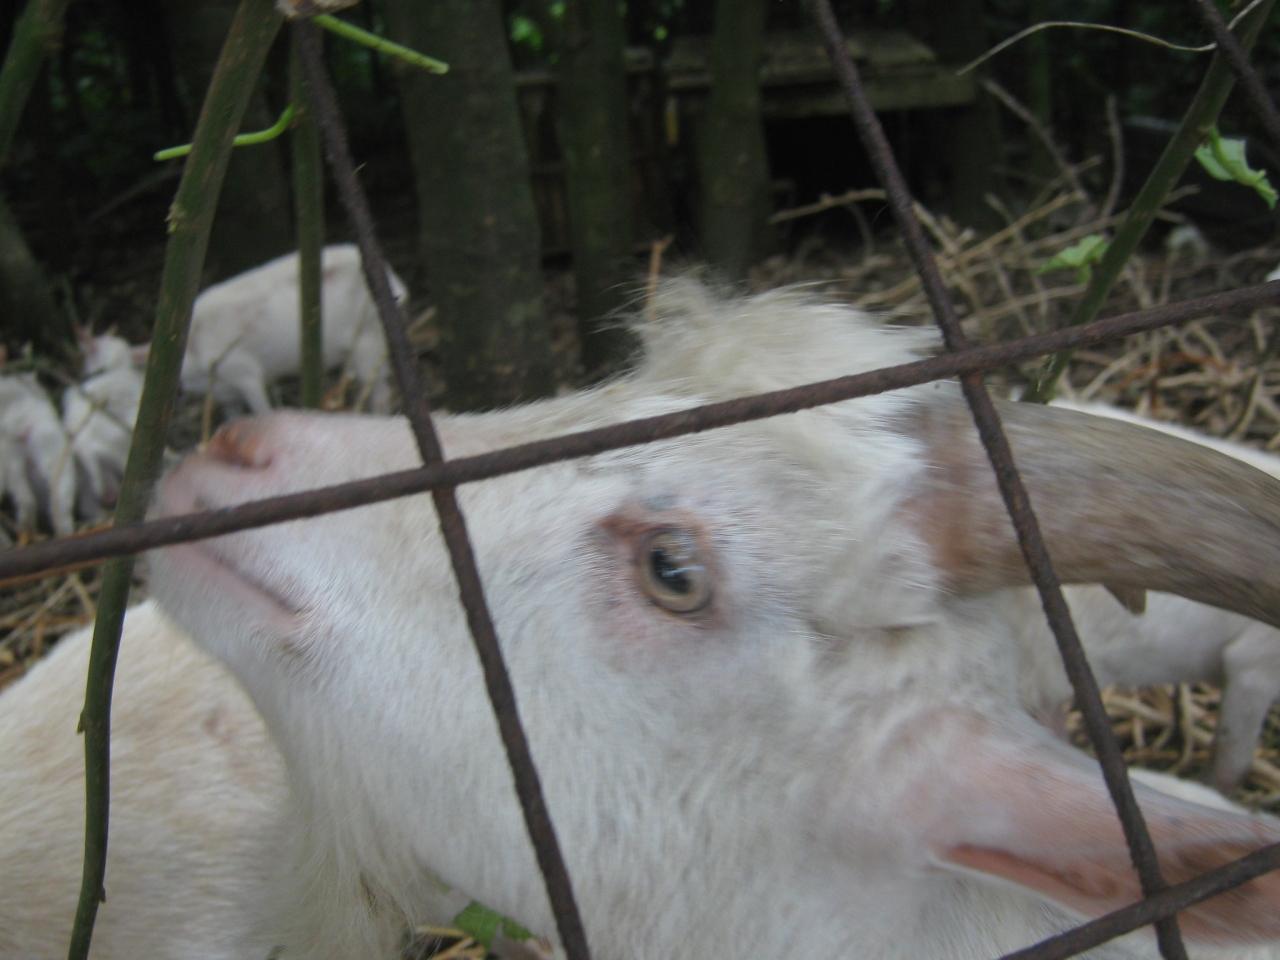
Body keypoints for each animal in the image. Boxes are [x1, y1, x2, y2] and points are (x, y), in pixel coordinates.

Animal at [180, 244, 407, 415]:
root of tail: (399, 286)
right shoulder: (226, 394)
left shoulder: (244, 371)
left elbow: (263, 412)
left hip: (370, 336)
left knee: (380, 392)